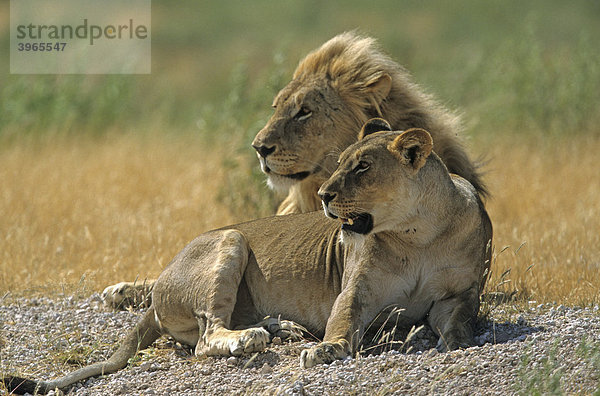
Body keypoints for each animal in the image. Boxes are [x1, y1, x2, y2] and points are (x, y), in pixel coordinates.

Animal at [3, 119, 492, 394]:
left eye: (362, 167)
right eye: (340, 163)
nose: (324, 195)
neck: (417, 235)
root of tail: (162, 279)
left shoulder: (460, 294)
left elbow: (458, 321)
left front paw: (449, 342)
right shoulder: (357, 290)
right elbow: (342, 321)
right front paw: (327, 349)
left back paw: (282, 328)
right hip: (231, 240)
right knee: (207, 337)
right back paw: (254, 338)